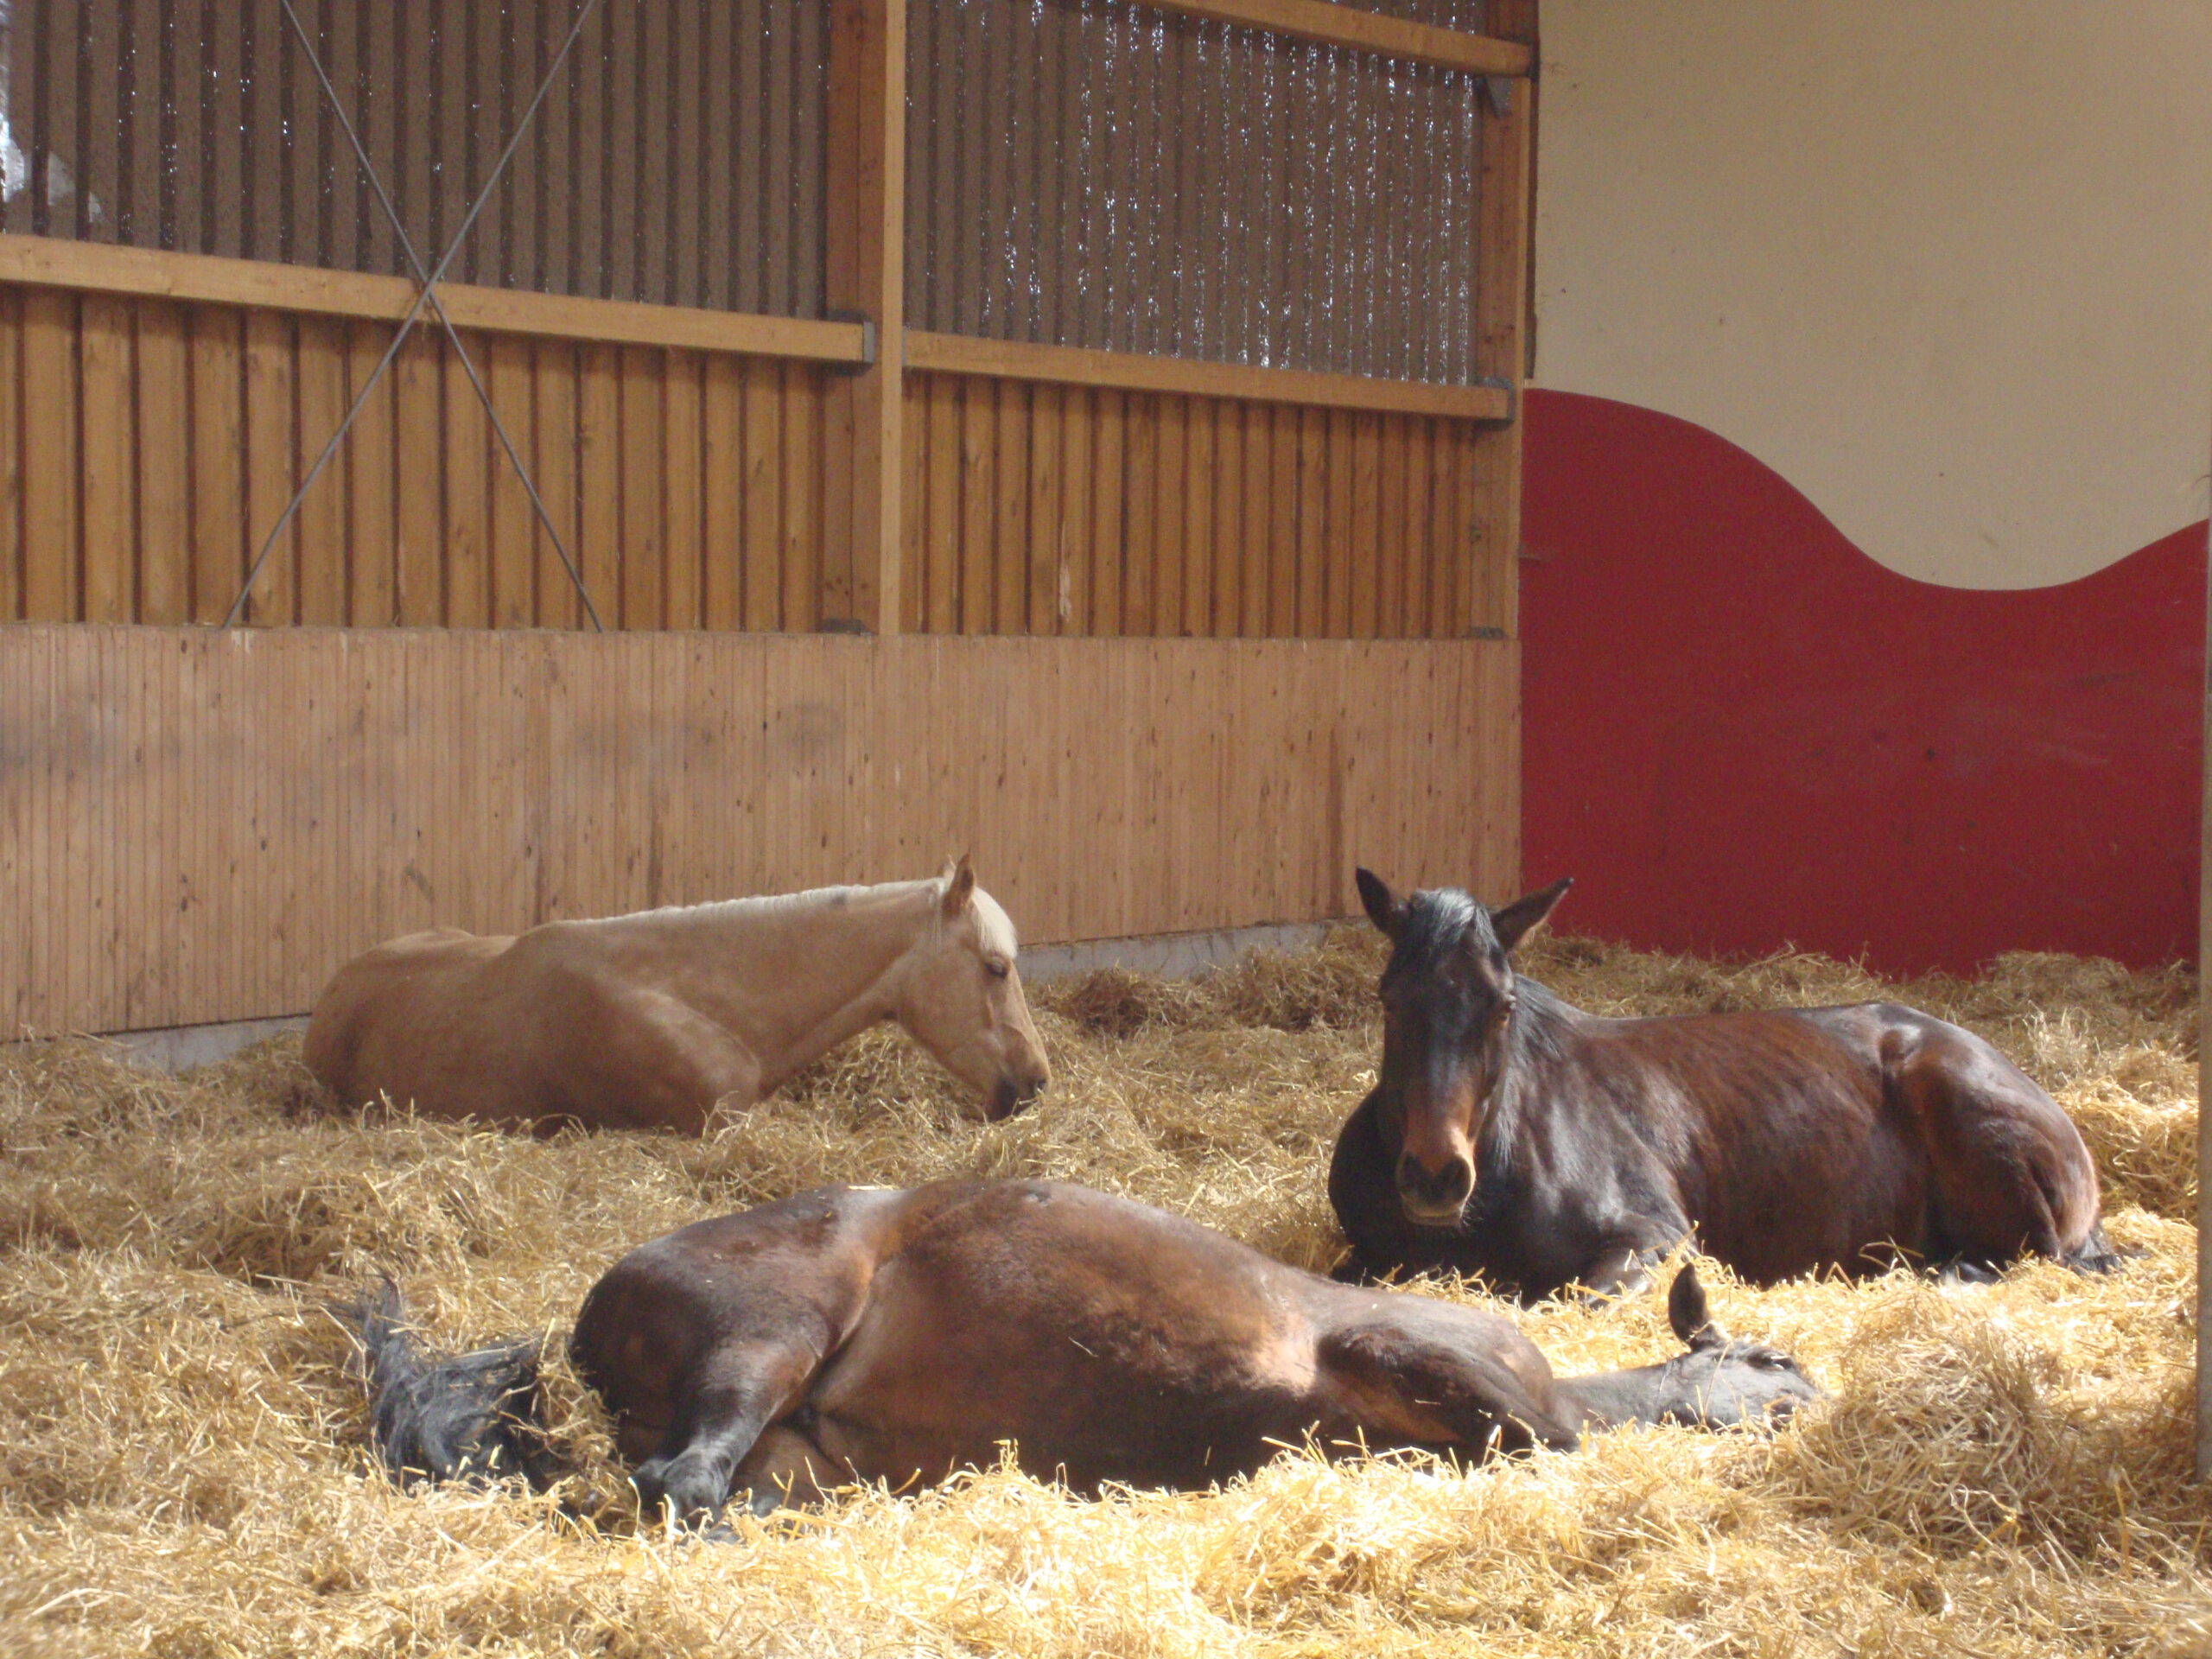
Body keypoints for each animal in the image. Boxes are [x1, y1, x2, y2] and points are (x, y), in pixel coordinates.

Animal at [1327, 862, 2123, 1309]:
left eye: (1503, 1006)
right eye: (1390, 1001)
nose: (1436, 1177)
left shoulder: (1655, 1237)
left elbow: (1567, 1303)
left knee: (2031, 1256)